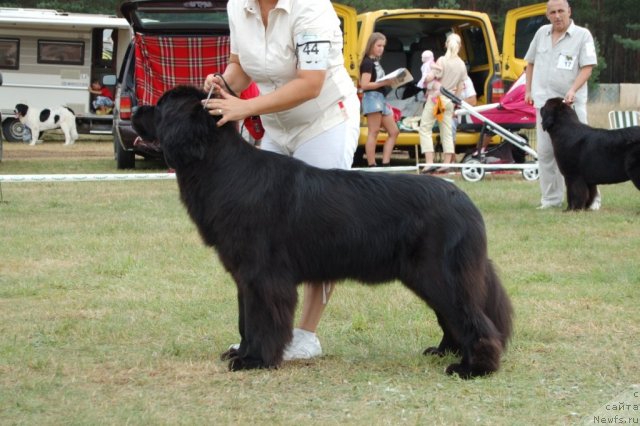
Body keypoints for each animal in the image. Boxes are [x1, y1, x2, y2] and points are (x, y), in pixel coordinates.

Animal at [132, 85, 512, 378]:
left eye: (161, 106)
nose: (135, 107)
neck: (217, 166)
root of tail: (465, 202)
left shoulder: (263, 275)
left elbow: (261, 320)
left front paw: (254, 360)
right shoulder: (244, 276)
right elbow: (245, 319)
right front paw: (242, 352)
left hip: (439, 273)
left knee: (471, 317)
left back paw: (473, 367)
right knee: (453, 316)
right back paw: (447, 352)